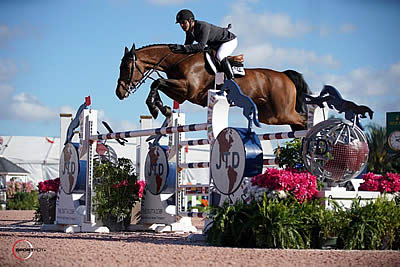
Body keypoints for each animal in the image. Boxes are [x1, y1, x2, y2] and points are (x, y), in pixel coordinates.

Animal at [114, 43, 310, 131]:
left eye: (126, 67)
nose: (119, 93)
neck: (178, 60)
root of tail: (285, 75)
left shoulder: (187, 89)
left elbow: (157, 83)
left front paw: (156, 109)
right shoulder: (181, 95)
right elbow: (157, 85)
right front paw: (164, 109)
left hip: (281, 113)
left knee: (303, 119)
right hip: (270, 116)